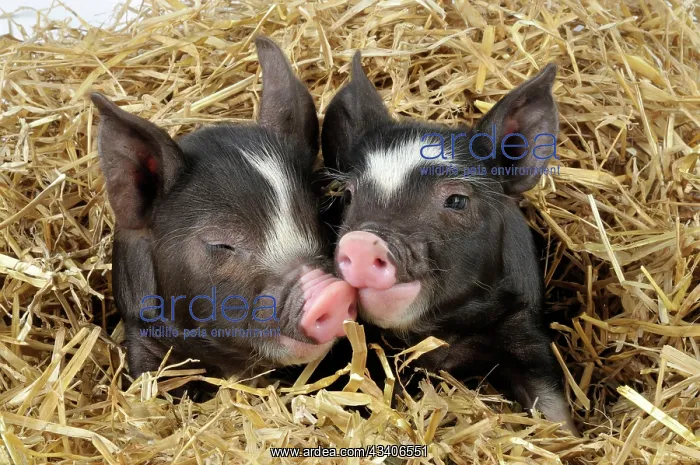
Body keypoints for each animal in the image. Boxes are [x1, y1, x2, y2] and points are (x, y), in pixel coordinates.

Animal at [321, 52, 579, 434]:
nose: (363, 242)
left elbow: (553, 409)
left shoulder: (527, 333)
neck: (443, 335)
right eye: (350, 195)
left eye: (457, 200)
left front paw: (570, 435)